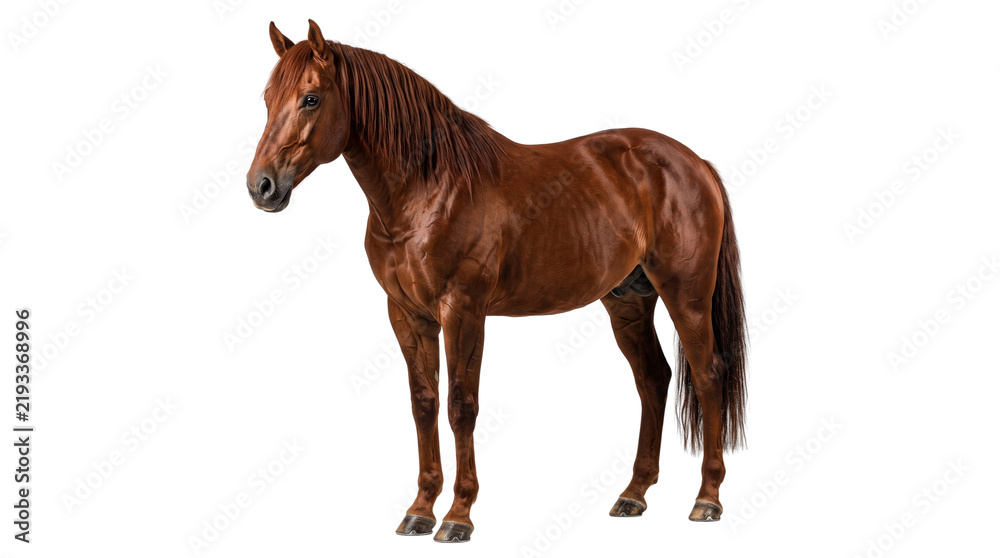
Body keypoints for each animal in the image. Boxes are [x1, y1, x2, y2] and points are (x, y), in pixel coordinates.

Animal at [247, 20, 747, 543]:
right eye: (267, 98)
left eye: (310, 99)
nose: (261, 186)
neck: (428, 189)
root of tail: (694, 162)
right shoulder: (407, 315)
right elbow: (424, 404)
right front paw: (420, 509)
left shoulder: (463, 311)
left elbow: (460, 405)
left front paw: (457, 516)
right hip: (628, 301)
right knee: (652, 378)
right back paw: (633, 494)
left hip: (687, 295)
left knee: (709, 374)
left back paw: (707, 499)